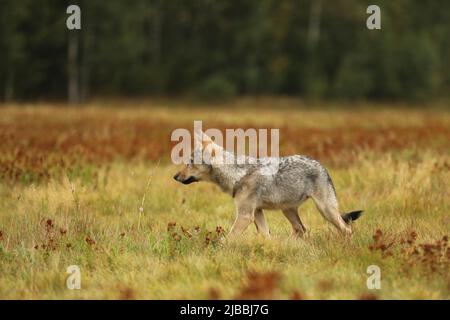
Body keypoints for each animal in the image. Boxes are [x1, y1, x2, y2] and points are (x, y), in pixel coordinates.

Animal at [172, 131, 362, 239]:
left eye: (190, 162)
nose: (174, 176)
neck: (236, 175)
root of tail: (320, 164)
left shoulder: (245, 216)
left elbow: (228, 239)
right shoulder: (257, 213)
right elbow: (265, 236)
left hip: (325, 211)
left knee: (347, 229)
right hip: (288, 211)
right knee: (301, 229)